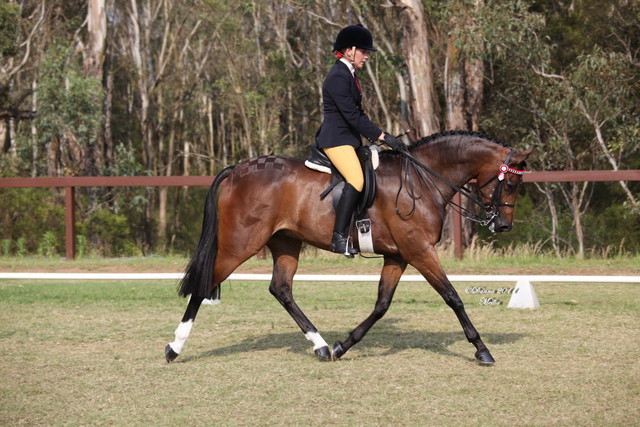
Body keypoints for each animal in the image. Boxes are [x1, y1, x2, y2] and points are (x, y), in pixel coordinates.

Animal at [165, 131, 533, 365]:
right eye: (511, 183)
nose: (503, 226)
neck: (420, 180)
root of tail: (237, 170)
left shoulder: (398, 255)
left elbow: (382, 305)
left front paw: (344, 345)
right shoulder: (419, 251)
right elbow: (453, 297)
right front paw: (481, 350)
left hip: (286, 242)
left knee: (281, 289)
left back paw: (322, 347)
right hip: (239, 244)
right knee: (204, 286)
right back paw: (174, 348)